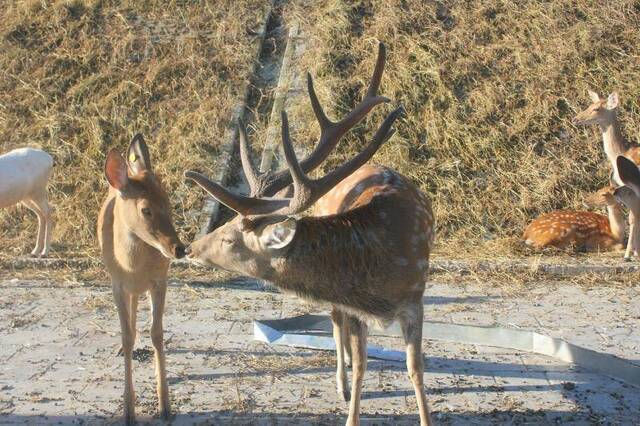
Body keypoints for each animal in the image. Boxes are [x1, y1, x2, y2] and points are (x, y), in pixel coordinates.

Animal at [97, 135, 186, 424]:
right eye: (145, 210)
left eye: (169, 203)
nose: (179, 249)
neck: (133, 266)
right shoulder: (116, 283)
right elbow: (127, 335)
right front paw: (128, 411)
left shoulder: (160, 280)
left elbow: (157, 334)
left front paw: (165, 407)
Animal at [182, 42, 436, 426]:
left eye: (228, 238)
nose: (189, 248)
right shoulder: (354, 307)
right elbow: (361, 366)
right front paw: (350, 408)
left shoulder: (415, 299)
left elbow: (415, 369)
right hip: (339, 305)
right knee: (335, 325)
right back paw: (340, 381)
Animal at [576, 88, 640, 258]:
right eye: (590, 105)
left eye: (597, 109)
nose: (575, 118)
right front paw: (634, 253)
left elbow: (632, 217)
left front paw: (629, 254)